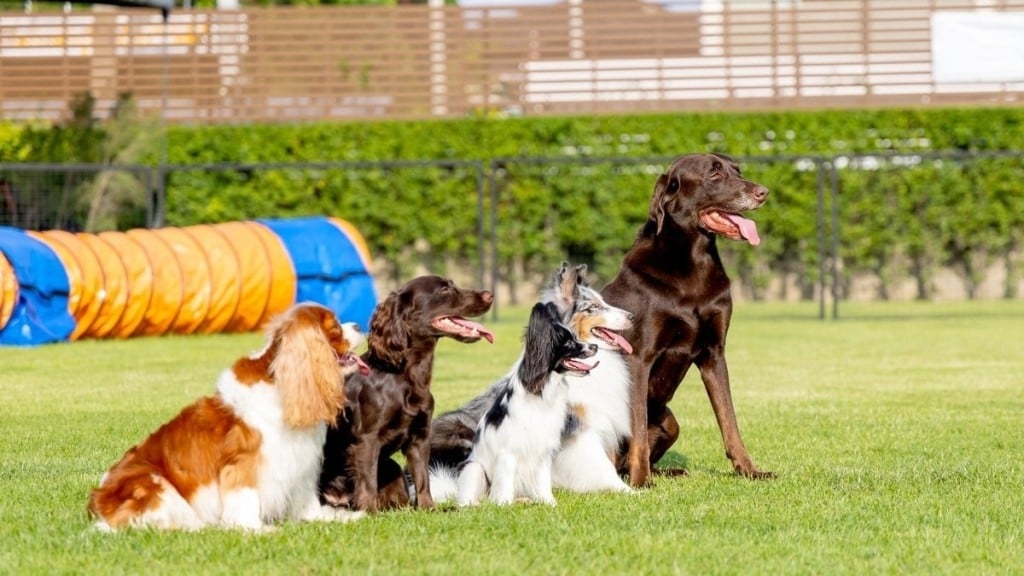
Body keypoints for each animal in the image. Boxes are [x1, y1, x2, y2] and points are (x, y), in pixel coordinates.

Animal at [432, 301, 598, 502]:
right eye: (568, 343)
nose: (595, 346)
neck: (542, 389)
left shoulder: (543, 450)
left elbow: (543, 481)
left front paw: (548, 503)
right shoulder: (508, 452)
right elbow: (505, 481)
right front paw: (503, 504)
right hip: (474, 468)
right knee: (468, 499)